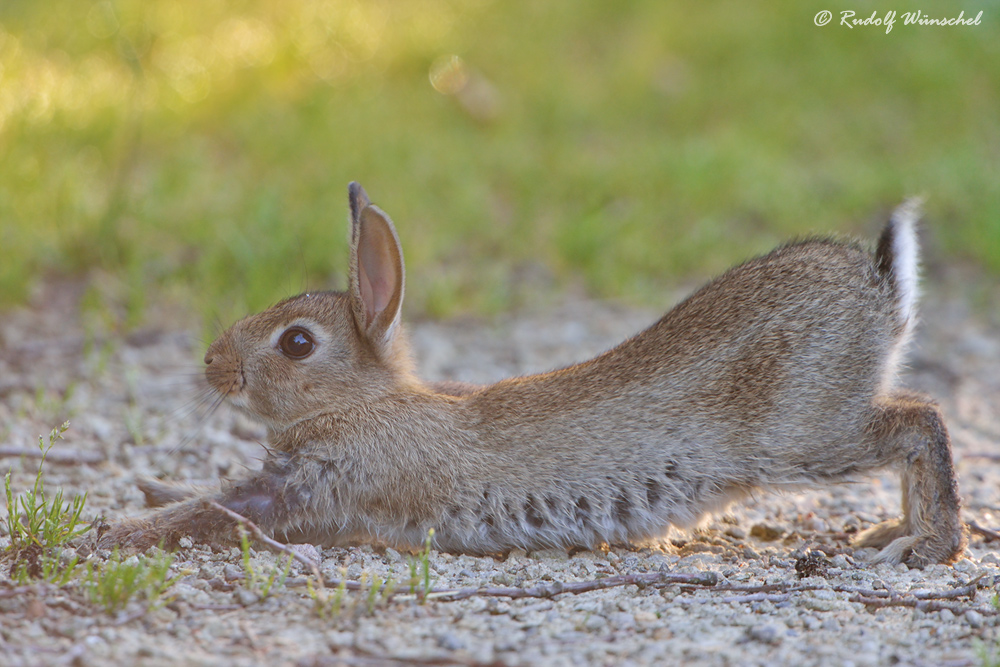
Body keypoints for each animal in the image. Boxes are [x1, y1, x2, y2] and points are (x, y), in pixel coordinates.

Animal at [103, 184, 968, 568]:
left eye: (296, 343)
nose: (213, 364)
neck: (366, 402)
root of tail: (880, 291)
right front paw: (139, 498)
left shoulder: (318, 486)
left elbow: (214, 510)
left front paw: (110, 532)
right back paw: (893, 532)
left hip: (801, 434)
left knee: (920, 418)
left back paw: (926, 545)